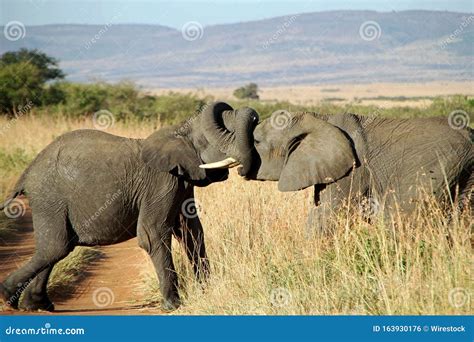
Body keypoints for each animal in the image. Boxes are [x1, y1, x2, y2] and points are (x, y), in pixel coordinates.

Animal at [0, 101, 260, 310]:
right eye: (223, 133)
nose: (244, 170)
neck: (179, 130)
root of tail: (26, 173)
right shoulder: (161, 181)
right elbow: (152, 233)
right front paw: (173, 305)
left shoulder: (182, 180)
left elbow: (191, 232)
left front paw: (207, 291)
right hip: (49, 197)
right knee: (56, 247)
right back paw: (8, 296)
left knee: (55, 247)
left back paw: (35, 305)